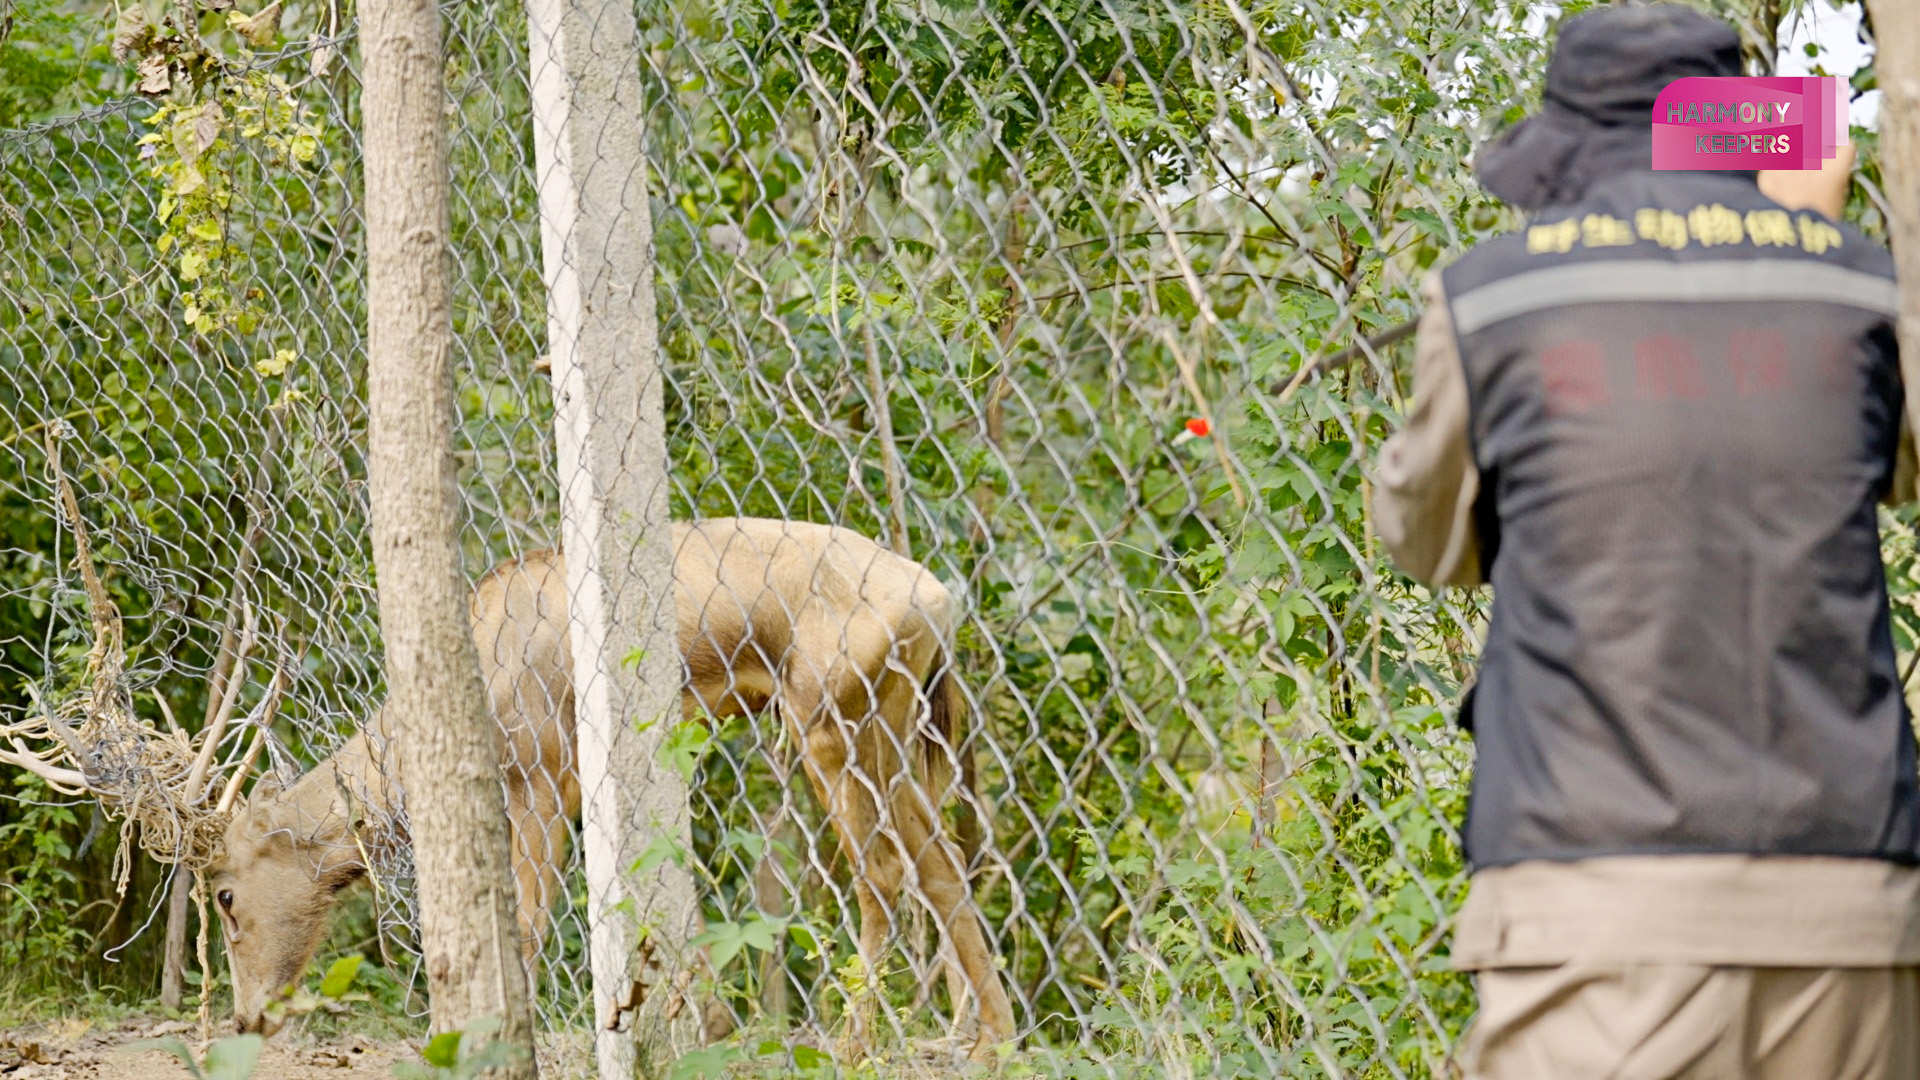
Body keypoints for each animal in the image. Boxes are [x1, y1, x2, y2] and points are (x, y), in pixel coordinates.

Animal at [204, 518, 1021, 1053]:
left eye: (226, 895)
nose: (248, 1018)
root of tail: (940, 604)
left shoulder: (539, 774)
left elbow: (528, 923)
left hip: (834, 723)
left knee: (882, 872)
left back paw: (861, 1048)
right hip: (899, 736)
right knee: (941, 865)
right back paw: (986, 1041)